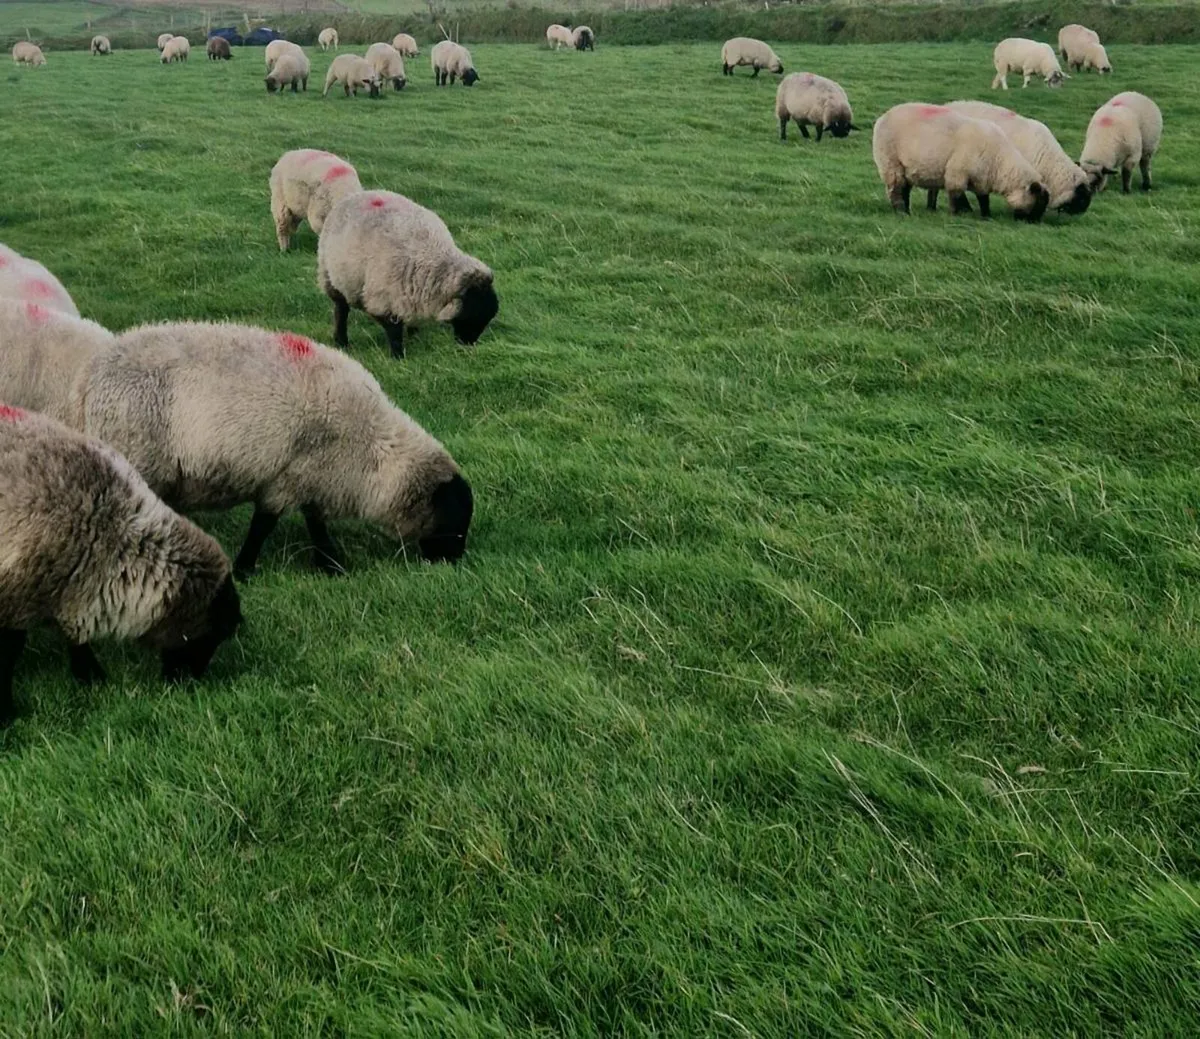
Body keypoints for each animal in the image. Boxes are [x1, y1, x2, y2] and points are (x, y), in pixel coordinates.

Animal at [0, 404, 242, 720]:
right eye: (212, 633)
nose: (189, 684)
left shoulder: (66, 590)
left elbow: (75, 640)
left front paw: (91, 677)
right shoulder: (16, 596)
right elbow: (9, 655)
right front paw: (8, 713)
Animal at [74, 322, 475, 578]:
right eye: (453, 519)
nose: (453, 563)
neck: (371, 449)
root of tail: (93, 374)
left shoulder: (314, 477)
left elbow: (315, 521)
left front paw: (330, 565)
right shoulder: (288, 477)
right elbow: (264, 525)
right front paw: (245, 569)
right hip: (137, 455)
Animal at [317, 190, 499, 358]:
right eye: (472, 313)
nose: (469, 344)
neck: (430, 256)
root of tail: (358, 194)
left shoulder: (411, 294)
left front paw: (415, 336)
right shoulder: (383, 300)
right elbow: (394, 332)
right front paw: (398, 357)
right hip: (331, 277)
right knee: (341, 310)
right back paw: (341, 341)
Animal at [872, 102, 1050, 221]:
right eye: (1038, 203)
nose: (1033, 223)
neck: (999, 162)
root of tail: (883, 116)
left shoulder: (982, 179)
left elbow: (983, 198)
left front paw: (986, 216)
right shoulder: (957, 173)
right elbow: (955, 195)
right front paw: (954, 215)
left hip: (904, 167)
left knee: (905, 188)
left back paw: (906, 210)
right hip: (891, 162)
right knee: (896, 189)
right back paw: (902, 212)